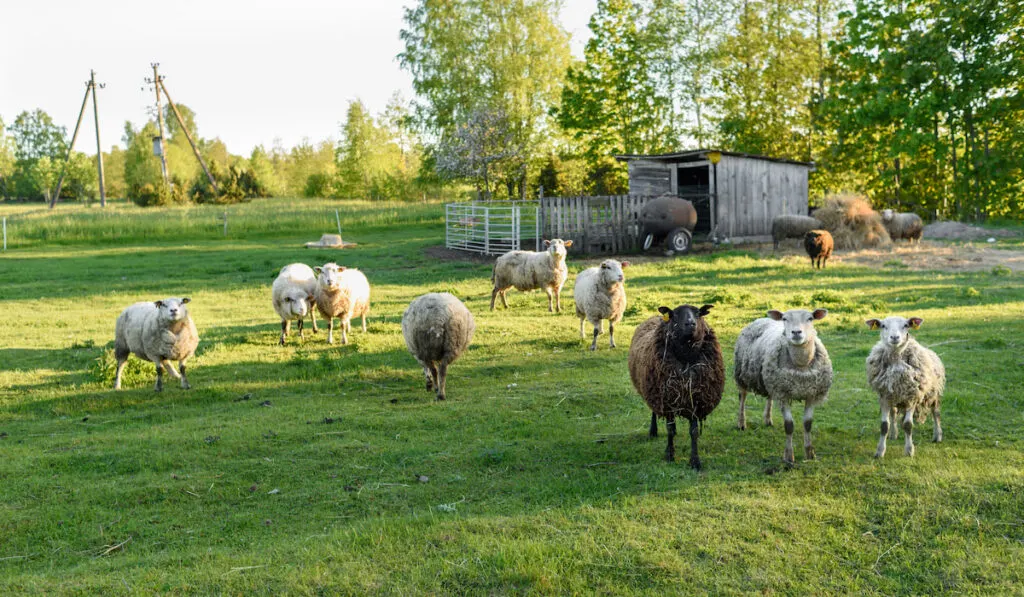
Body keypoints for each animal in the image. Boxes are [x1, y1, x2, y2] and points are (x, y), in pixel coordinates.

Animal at [626, 305, 724, 468]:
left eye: (698, 313)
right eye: (675, 315)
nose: (690, 324)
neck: (686, 357)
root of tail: (655, 316)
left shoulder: (694, 401)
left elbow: (694, 432)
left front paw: (695, 461)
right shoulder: (667, 401)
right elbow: (669, 430)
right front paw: (670, 455)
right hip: (653, 391)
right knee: (654, 412)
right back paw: (653, 431)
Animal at [733, 309, 827, 466]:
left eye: (810, 318)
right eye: (784, 318)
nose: (796, 332)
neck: (801, 365)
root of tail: (762, 318)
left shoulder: (811, 394)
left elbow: (808, 424)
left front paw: (810, 454)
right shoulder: (784, 395)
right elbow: (789, 426)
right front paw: (788, 457)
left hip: (771, 379)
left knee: (769, 397)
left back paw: (768, 420)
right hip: (742, 374)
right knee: (742, 398)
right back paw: (741, 423)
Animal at [864, 317, 942, 458]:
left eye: (906, 325)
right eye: (883, 325)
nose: (895, 337)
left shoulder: (912, 397)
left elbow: (908, 425)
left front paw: (909, 450)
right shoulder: (885, 396)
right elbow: (884, 425)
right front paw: (880, 451)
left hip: (933, 393)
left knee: (936, 412)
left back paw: (937, 435)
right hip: (894, 396)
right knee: (893, 413)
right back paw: (893, 434)